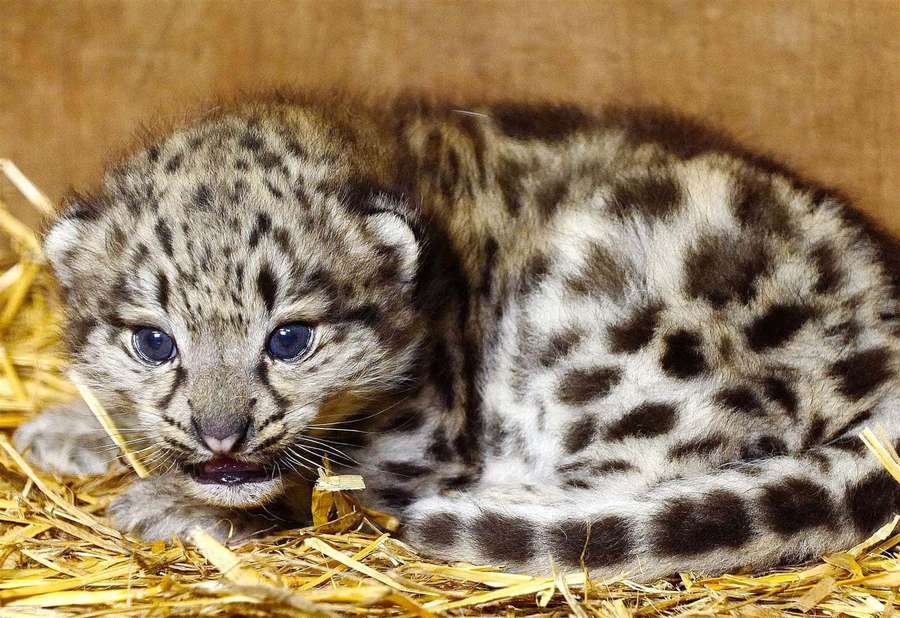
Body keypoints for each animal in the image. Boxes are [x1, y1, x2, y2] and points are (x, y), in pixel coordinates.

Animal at [14, 93, 900, 581]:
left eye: (290, 339)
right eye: (155, 343)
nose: (221, 434)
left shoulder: (420, 444)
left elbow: (318, 483)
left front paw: (167, 502)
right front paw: (66, 427)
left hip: (616, 346)